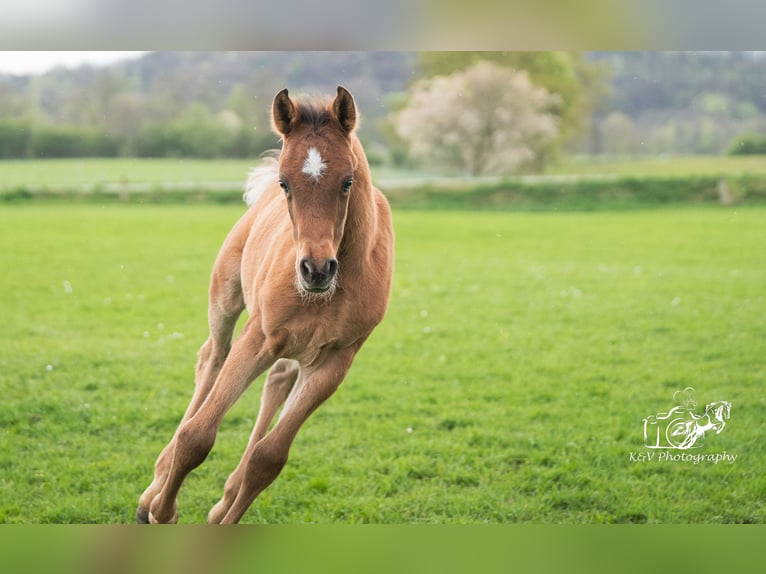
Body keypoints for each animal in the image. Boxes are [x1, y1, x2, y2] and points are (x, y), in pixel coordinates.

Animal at [136, 86, 394, 524]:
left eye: (347, 181)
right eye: (285, 183)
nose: (315, 269)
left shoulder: (335, 361)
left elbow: (268, 458)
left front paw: (223, 516)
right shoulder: (258, 335)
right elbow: (197, 436)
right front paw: (162, 511)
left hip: (298, 350)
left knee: (277, 380)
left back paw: (223, 498)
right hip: (225, 299)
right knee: (211, 359)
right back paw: (152, 490)